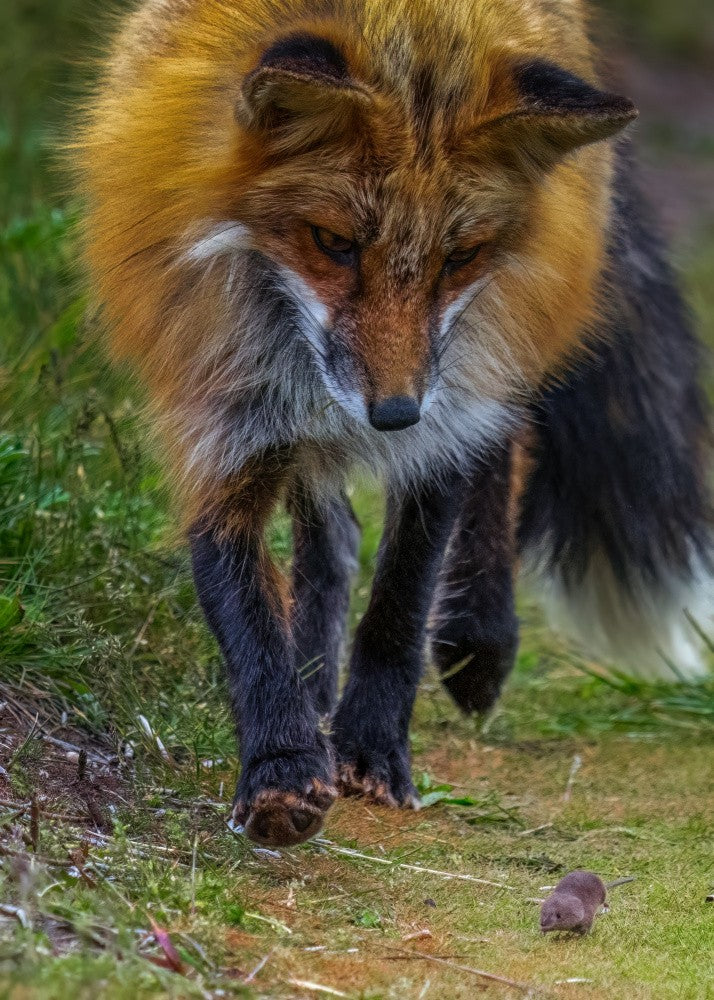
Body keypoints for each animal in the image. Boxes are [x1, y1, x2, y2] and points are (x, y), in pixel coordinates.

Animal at [75, 0, 712, 847]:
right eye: (334, 243)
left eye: (460, 256)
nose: (395, 414)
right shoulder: (219, 417)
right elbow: (243, 606)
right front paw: (281, 762)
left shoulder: (442, 420)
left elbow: (402, 600)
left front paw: (374, 746)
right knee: (334, 530)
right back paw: (316, 675)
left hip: (501, 341)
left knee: (501, 446)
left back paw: (479, 637)